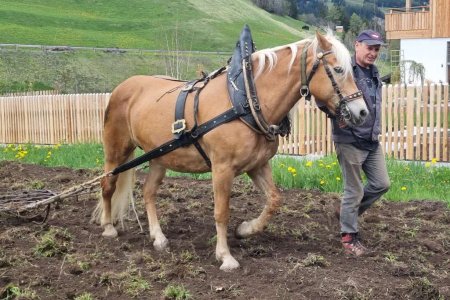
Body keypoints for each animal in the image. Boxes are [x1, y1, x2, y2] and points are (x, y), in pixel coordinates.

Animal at [94, 31, 370, 272]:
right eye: (338, 69)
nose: (362, 112)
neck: (246, 100)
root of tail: (123, 87)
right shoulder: (222, 168)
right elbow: (221, 211)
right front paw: (225, 256)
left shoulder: (257, 165)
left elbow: (274, 200)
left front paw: (246, 229)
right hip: (116, 150)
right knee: (107, 185)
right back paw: (108, 227)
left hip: (160, 158)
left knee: (148, 192)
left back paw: (158, 237)